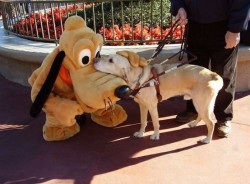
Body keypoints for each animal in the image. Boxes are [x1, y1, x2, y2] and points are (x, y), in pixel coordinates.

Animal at [94, 50, 223, 144]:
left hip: (201, 104)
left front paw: (156, 135)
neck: (141, 78)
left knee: (211, 123)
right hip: (200, 104)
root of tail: (212, 74)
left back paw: (207, 139)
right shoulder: (142, 106)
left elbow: (155, 123)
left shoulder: (152, 106)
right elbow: (143, 121)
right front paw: (141, 133)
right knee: (202, 116)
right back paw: (193, 124)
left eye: (111, 60)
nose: (95, 59)